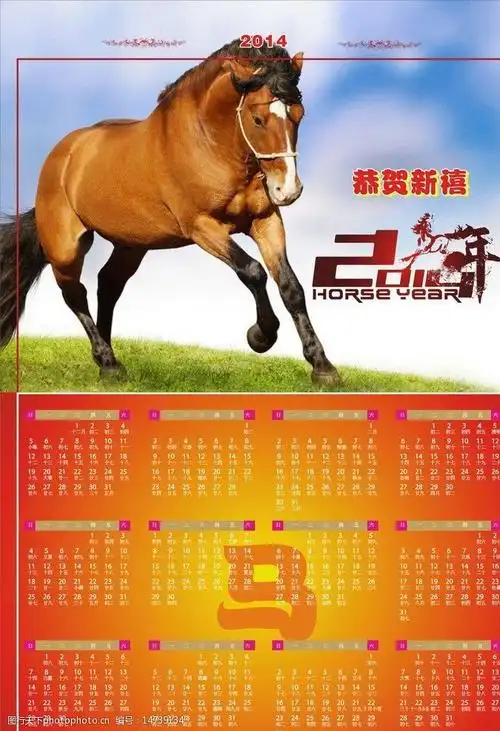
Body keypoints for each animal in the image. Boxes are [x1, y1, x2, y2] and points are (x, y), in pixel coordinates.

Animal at [0, 39, 340, 387]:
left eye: (299, 115)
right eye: (258, 119)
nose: (288, 190)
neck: (210, 144)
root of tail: (62, 155)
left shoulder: (265, 221)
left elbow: (291, 287)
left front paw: (323, 367)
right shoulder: (202, 226)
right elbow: (253, 272)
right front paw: (260, 336)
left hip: (131, 244)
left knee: (107, 284)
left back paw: (108, 361)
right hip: (66, 247)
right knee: (74, 293)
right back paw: (107, 361)